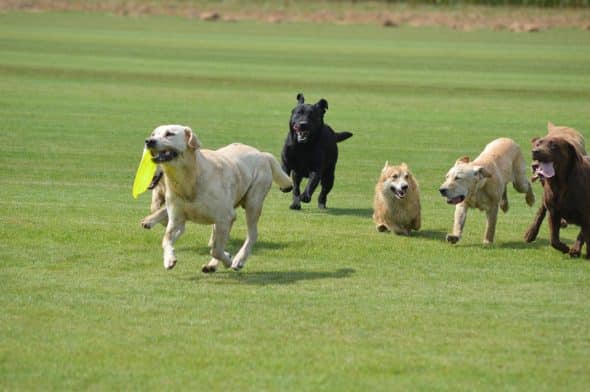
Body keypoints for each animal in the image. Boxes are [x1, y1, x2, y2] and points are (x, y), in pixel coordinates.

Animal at [141, 125, 294, 272]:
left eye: (169, 134)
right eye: (153, 134)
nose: (149, 141)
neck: (190, 180)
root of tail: (262, 154)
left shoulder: (225, 217)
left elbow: (216, 250)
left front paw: (229, 260)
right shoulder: (177, 221)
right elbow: (166, 239)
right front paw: (169, 259)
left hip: (253, 202)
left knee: (252, 234)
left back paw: (238, 259)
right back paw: (212, 265)